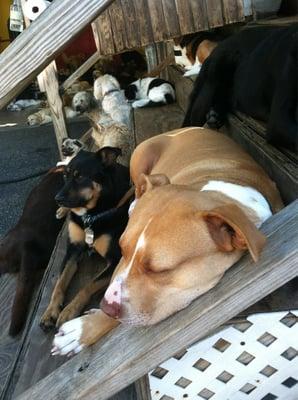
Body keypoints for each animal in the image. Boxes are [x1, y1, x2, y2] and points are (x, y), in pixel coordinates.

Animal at [40, 145, 131, 330]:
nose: (57, 199)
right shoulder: (72, 250)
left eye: (80, 176)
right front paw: (51, 310)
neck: (90, 216)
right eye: (65, 176)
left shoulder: (116, 259)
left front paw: (69, 310)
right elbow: (59, 283)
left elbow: (88, 285)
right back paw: (62, 211)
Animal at [50, 128, 282, 356]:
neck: (224, 194)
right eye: (123, 250)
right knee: (137, 187)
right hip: (140, 158)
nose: (105, 307)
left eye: (159, 270)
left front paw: (82, 329)